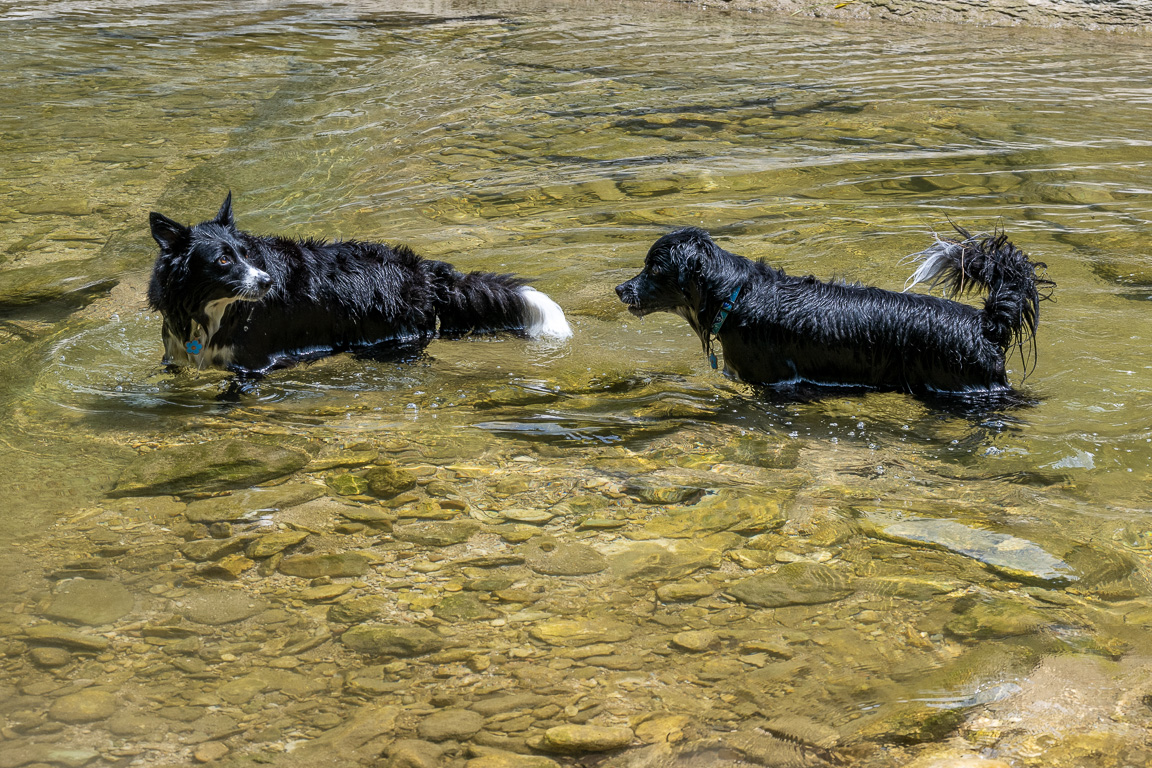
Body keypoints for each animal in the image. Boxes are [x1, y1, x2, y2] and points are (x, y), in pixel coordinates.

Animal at [148, 191, 571, 373]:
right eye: (223, 259)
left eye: (247, 254)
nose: (268, 282)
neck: (209, 311)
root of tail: (422, 270)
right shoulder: (177, 354)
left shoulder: (254, 363)